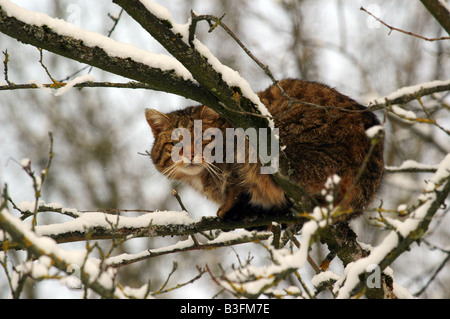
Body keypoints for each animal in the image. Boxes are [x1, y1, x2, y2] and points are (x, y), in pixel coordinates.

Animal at [145, 78, 384, 222]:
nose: (190, 154)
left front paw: (229, 206)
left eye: (203, 139)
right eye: (176, 142)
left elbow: (237, 185)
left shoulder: (238, 157)